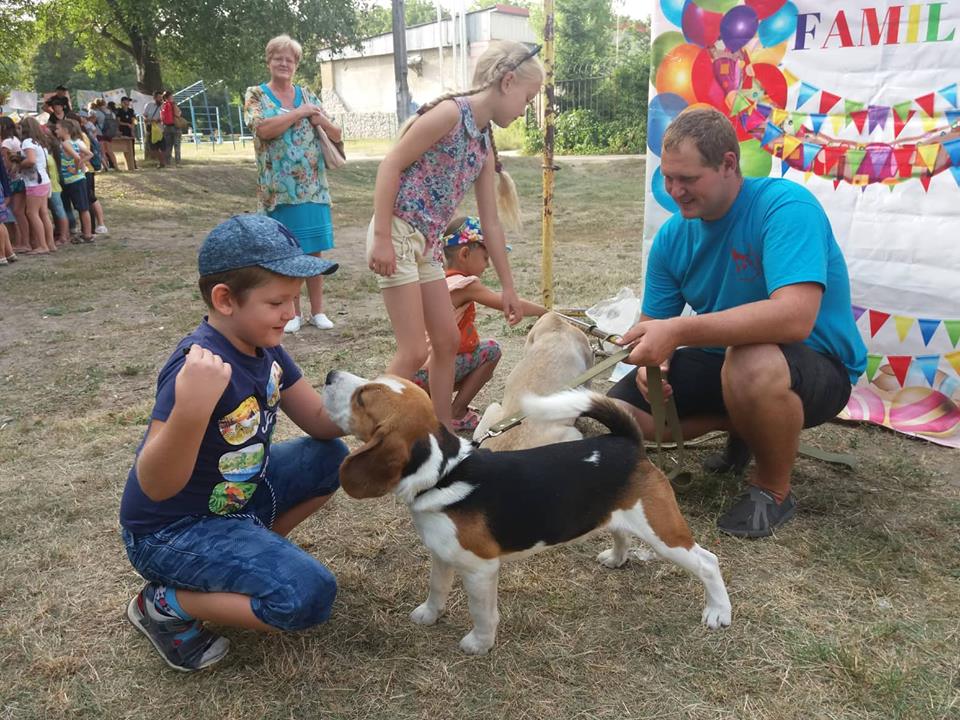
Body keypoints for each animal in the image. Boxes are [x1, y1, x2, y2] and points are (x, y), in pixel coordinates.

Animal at [323, 370, 732, 655]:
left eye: (362, 399)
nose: (328, 376)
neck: (442, 472)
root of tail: (628, 443)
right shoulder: (441, 555)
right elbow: (437, 588)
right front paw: (428, 615)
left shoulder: (481, 568)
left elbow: (481, 612)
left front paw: (479, 643)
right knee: (620, 531)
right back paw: (617, 558)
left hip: (663, 532)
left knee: (708, 562)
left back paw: (718, 612)